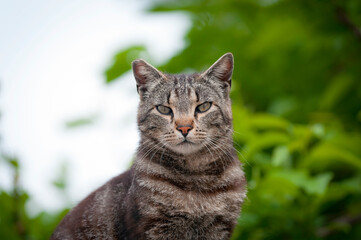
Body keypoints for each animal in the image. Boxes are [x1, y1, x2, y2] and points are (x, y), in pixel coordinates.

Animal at [50, 53, 246, 240]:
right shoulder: (155, 227)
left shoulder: (219, 228)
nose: (184, 127)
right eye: (164, 109)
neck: (195, 178)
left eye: (203, 106)